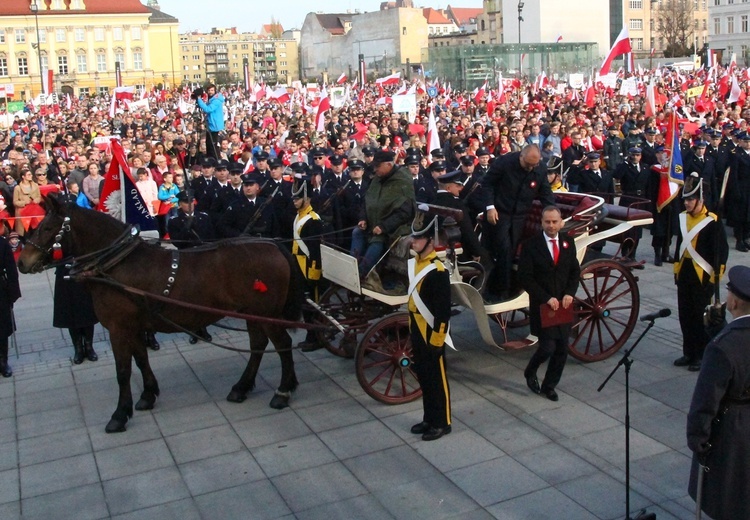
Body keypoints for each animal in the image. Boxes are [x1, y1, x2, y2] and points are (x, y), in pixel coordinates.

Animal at [17, 197, 306, 432]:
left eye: (47, 228)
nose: (22, 261)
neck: (117, 264)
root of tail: (274, 245)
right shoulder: (133, 325)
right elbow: (141, 359)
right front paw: (148, 394)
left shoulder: (118, 327)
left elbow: (123, 370)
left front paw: (119, 415)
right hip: (252, 312)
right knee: (258, 345)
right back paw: (241, 387)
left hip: (266, 313)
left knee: (282, 344)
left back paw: (283, 391)